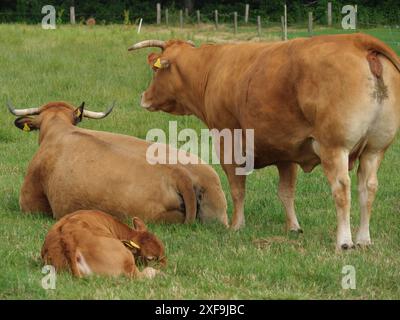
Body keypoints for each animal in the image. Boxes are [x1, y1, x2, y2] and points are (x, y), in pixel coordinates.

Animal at [129, 33, 400, 251]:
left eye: (155, 70)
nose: (143, 97)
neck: (212, 68)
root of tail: (356, 40)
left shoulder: (229, 142)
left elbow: (237, 189)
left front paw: (237, 225)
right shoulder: (286, 151)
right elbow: (286, 192)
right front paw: (293, 227)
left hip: (335, 148)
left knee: (342, 189)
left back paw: (344, 241)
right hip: (375, 150)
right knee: (368, 188)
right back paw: (364, 239)